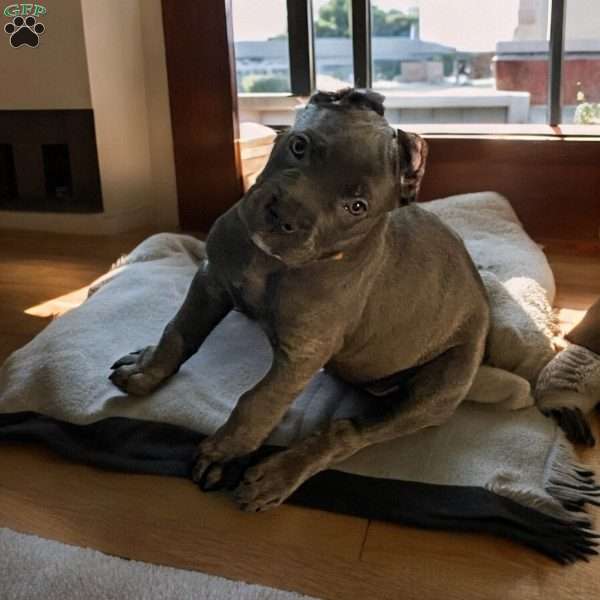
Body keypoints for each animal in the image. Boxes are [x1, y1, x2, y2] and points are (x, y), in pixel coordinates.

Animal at [110, 89, 490, 510]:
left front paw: (224, 453)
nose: (283, 215)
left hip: (437, 388)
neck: (271, 263)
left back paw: (276, 476)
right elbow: (178, 330)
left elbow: (258, 401)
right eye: (299, 146)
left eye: (357, 207)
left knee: (347, 433)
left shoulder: (302, 353)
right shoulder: (211, 279)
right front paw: (147, 369)